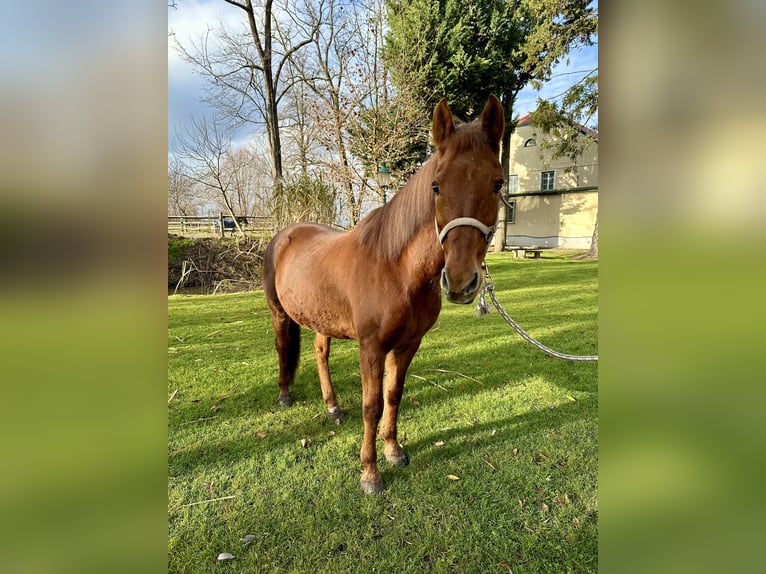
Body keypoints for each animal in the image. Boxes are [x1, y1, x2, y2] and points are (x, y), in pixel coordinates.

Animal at [268, 95, 508, 496]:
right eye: (436, 186)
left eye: (497, 183)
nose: (460, 280)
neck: (396, 269)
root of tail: (285, 234)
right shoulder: (372, 347)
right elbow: (372, 404)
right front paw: (370, 473)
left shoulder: (408, 344)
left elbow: (393, 395)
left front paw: (394, 450)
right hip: (279, 314)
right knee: (284, 347)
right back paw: (285, 395)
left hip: (321, 318)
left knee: (320, 352)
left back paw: (332, 407)